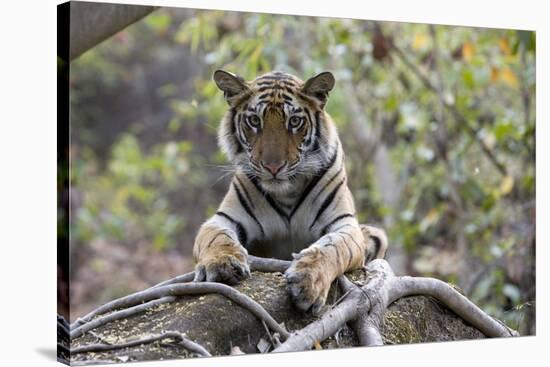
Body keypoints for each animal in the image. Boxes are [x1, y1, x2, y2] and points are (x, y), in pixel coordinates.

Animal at [193, 69, 388, 314]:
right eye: (254, 120)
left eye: (294, 121)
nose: (273, 167)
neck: (287, 191)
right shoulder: (223, 218)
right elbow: (216, 238)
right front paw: (222, 263)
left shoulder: (344, 225)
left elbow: (332, 248)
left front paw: (308, 280)